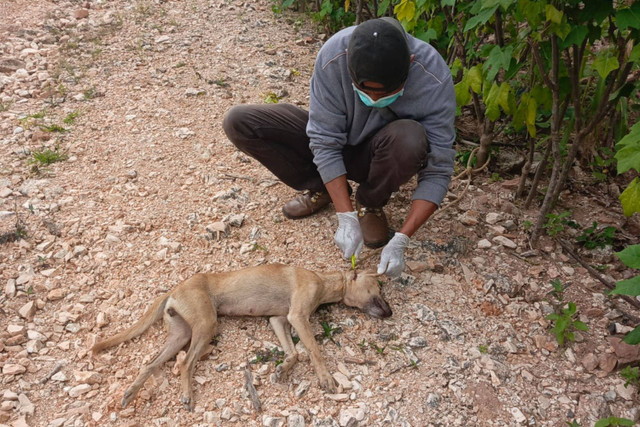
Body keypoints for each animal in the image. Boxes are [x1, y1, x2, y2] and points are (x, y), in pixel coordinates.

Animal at [90, 264, 390, 412]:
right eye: (378, 288)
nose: (390, 312)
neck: (325, 282)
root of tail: (175, 289)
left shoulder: (279, 320)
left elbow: (294, 353)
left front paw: (282, 369)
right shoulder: (297, 317)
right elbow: (313, 351)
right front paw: (326, 378)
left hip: (180, 334)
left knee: (150, 364)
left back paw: (130, 393)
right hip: (206, 326)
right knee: (185, 363)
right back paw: (187, 396)